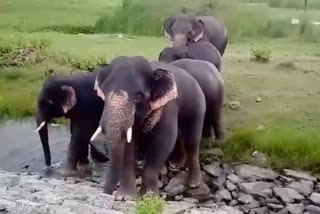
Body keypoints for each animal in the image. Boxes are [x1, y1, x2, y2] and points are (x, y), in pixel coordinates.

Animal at [90, 56, 205, 200]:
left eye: (140, 95)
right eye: (104, 91)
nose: (107, 193)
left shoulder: (168, 106)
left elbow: (163, 142)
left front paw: (148, 197)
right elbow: (127, 147)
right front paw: (125, 197)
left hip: (198, 107)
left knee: (192, 142)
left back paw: (194, 183)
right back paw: (175, 164)